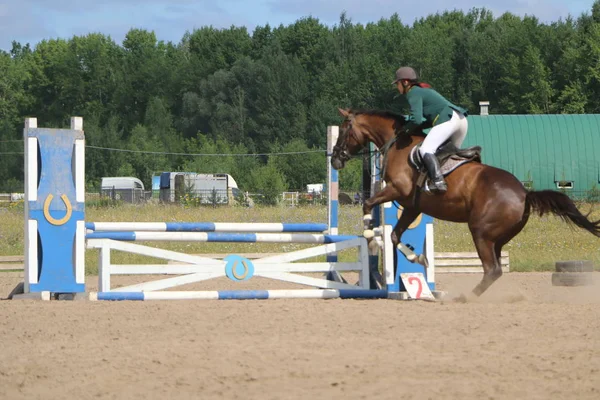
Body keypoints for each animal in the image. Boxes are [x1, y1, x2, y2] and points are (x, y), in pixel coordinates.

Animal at [332, 108, 600, 298]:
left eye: (344, 130)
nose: (334, 159)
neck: (397, 144)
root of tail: (524, 193)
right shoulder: (412, 206)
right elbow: (395, 235)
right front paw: (418, 258)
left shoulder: (397, 190)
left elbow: (368, 205)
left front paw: (370, 235)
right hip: (497, 237)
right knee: (495, 268)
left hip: (480, 232)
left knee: (492, 269)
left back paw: (466, 297)